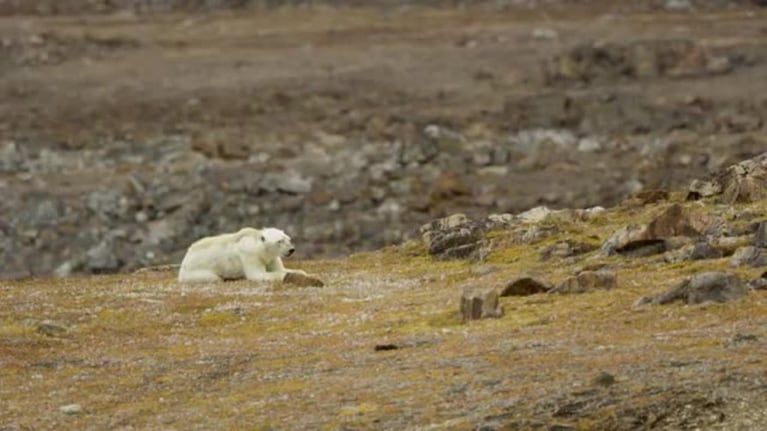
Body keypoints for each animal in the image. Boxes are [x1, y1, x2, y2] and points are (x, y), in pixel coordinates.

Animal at [178, 228, 308, 286]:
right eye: (279, 241)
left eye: (288, 239)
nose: (291, 250)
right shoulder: (250, 255)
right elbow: (258, 274)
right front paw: (285, 276)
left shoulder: (271, 257)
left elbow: (281, 268)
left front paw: (302, 273)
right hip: (194, 271)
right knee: (213, 277)